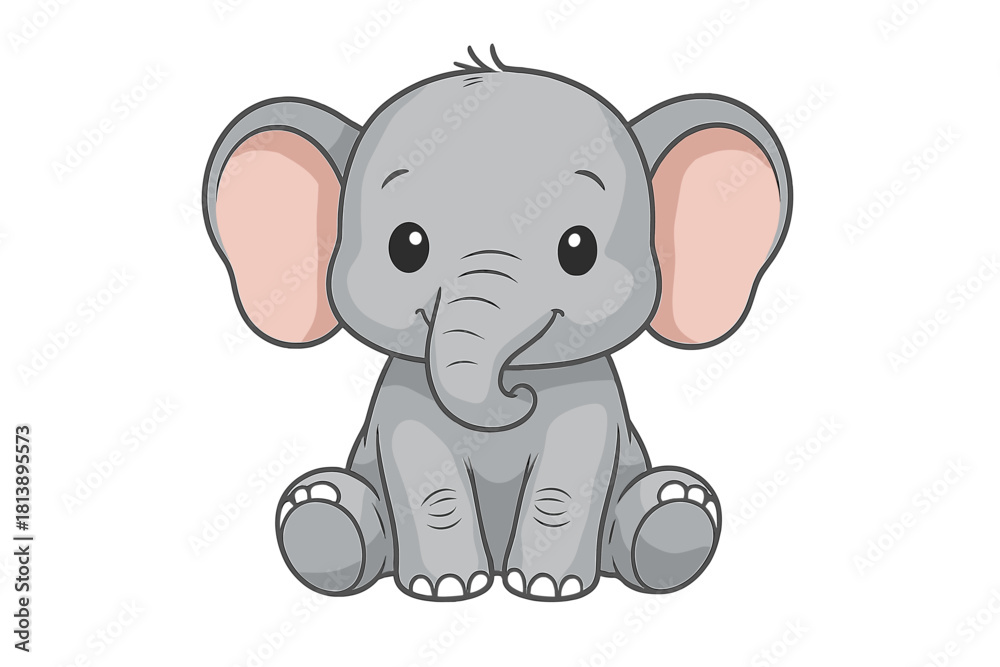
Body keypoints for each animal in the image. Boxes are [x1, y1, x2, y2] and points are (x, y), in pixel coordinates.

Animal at [202, 47, 791, 601]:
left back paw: (676, 508)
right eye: (406, 247)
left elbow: (565, 480)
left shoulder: (589, 400)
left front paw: (548, 589)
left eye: (578, 249)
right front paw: (446, 588)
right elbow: (429, 481)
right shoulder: (404, 400)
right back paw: (321, 511)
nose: (518, 392)